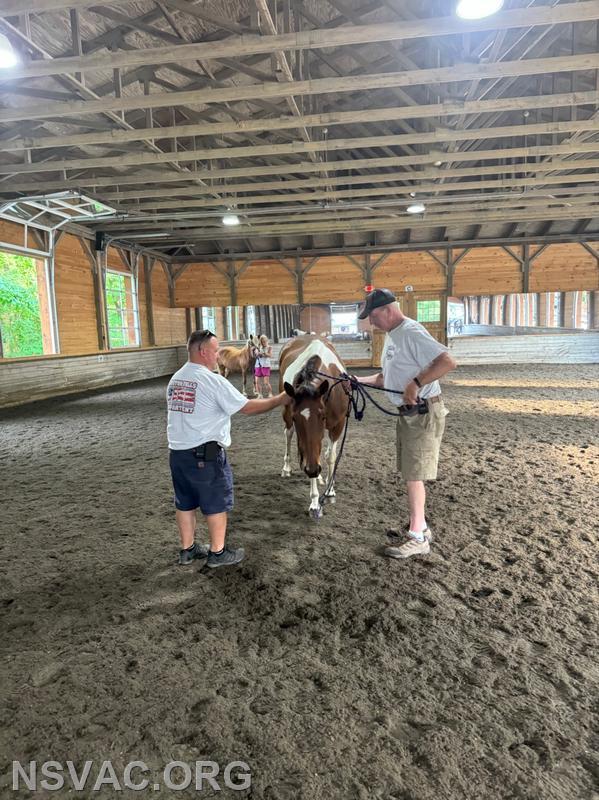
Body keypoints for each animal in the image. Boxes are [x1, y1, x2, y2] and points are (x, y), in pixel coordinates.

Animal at [280, 332, 350, 516]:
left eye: (322, 416)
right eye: (296, 418)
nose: (313, 471)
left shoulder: (338, 424)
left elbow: (330, 456)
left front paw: (330, 489)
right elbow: (309, 455)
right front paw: (314, 502)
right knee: (288, 434)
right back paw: (287, 467)